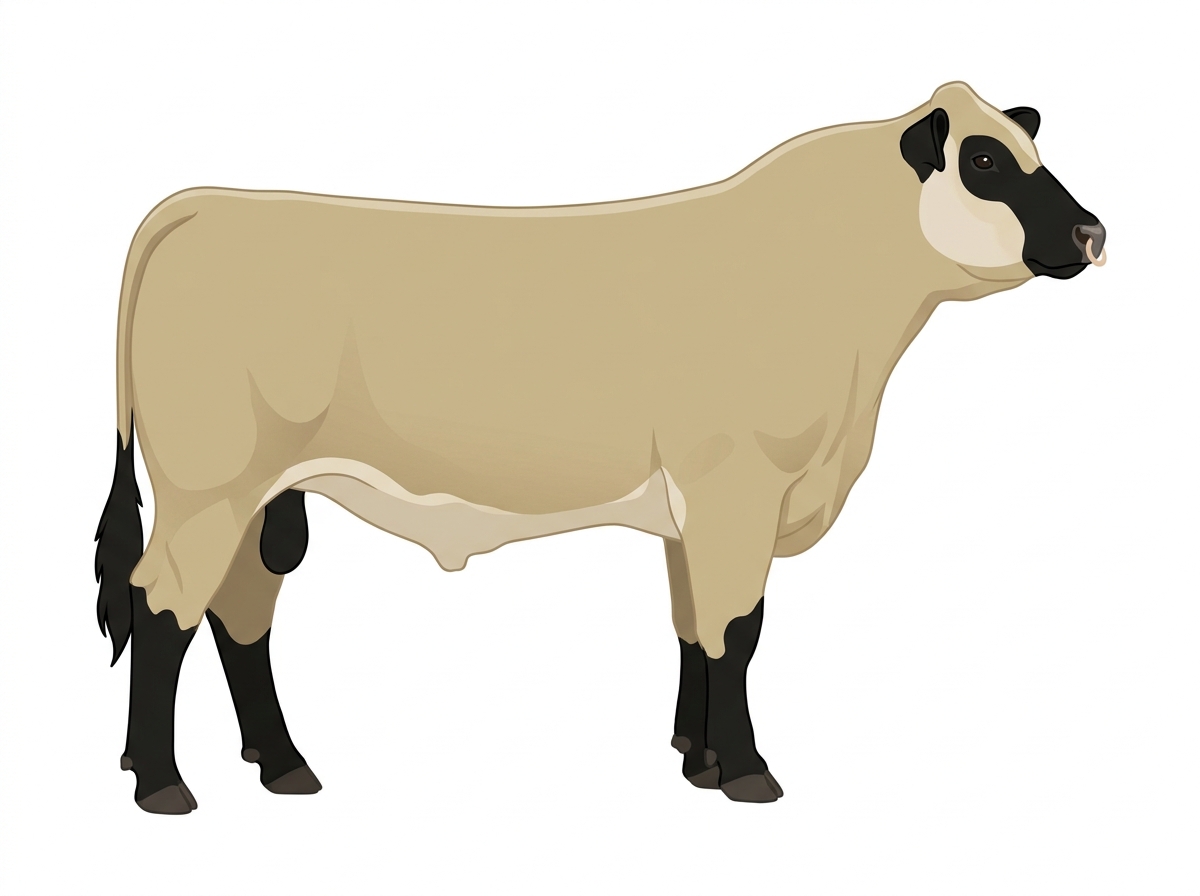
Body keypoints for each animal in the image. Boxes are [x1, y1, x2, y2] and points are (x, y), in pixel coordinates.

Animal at [95, 81, 1105, 813]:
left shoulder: (698, 510)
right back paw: (162, 784)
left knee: (240, 615)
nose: (1092, 232)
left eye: (1031, 151)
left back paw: (282, 766)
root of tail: (197, 204)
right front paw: (748, 774)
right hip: (208, 488)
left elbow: (697, 629)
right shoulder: (739, 489)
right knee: (161, 606)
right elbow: (741, 630)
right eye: (984, 160)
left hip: (261, 497)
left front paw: (698, 761)